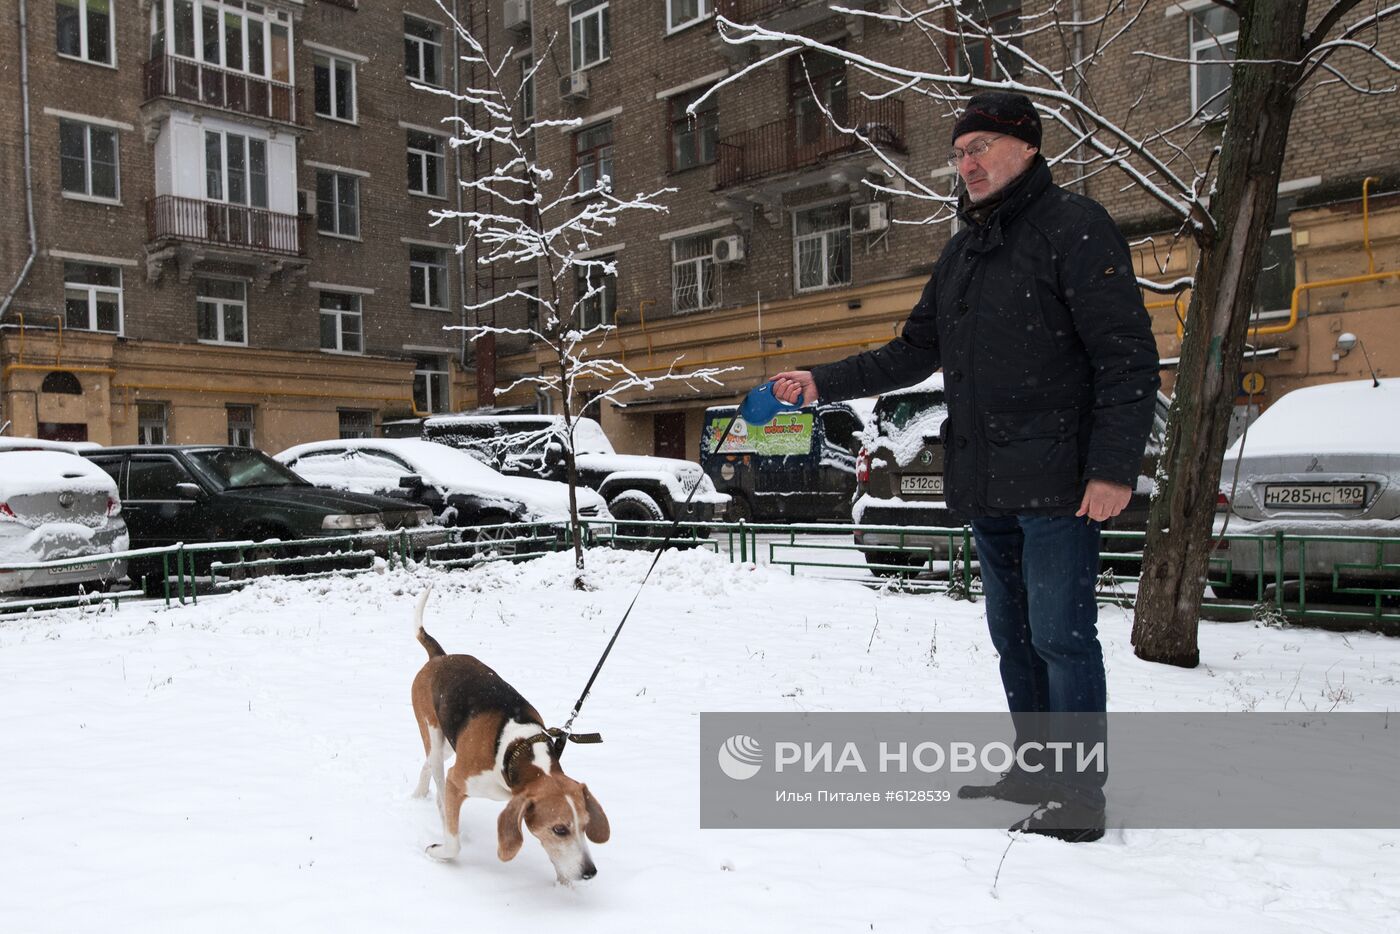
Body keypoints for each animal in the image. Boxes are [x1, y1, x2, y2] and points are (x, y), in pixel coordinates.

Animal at [403, 590, 604, 884]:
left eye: (586, 825)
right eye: (559, 829)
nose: (590, 872)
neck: (518, 749)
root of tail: (440, 657)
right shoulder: (457, 780)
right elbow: (454, 844)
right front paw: (438, 850)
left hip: (449, 743)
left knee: (427, 763)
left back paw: (418, 794)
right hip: (434, 736)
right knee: (439, 787)